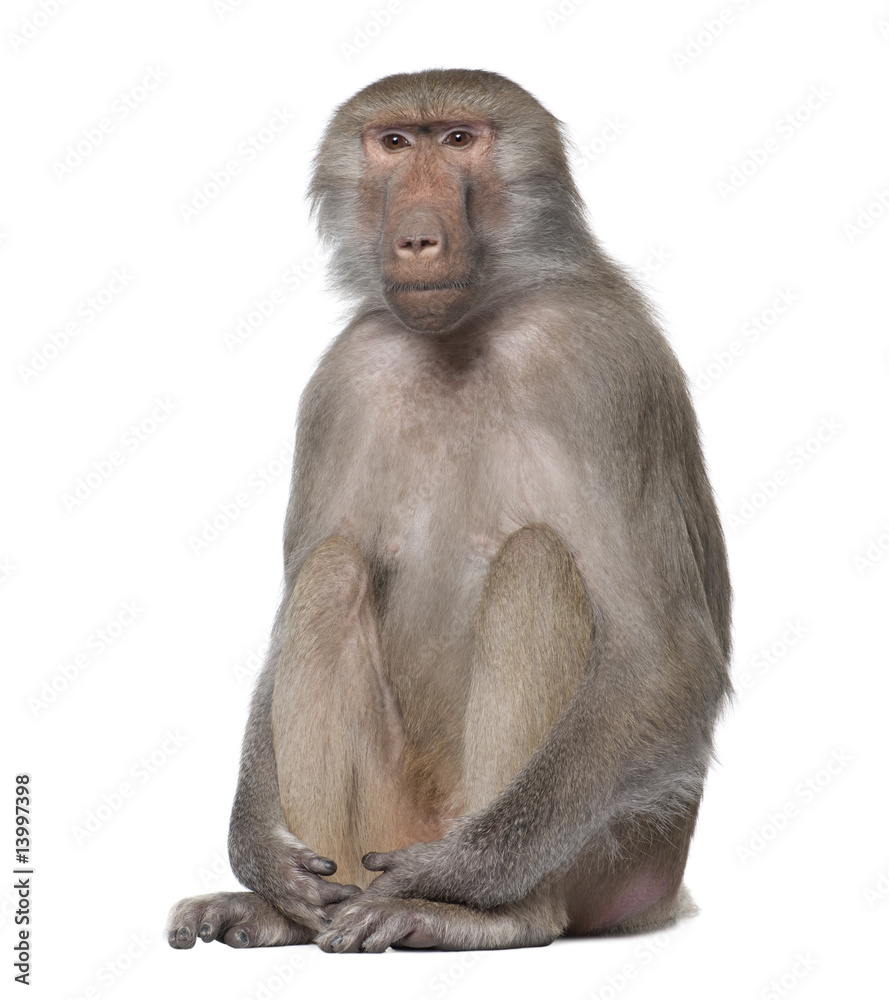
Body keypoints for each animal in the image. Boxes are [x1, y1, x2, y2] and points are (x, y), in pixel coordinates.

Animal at [167, 68, 731, 954]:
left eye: (460, 140)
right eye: (395, 142)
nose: (418, 241)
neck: (470, 325)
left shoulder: (598, 363)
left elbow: (665, 652)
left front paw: (454, 875)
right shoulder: (344, 379)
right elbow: (300, 597)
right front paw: (257, 857)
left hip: (606, 852)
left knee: (535, 561)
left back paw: (484, 913)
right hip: (374, 834)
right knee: (330, 575)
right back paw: (284, 915)